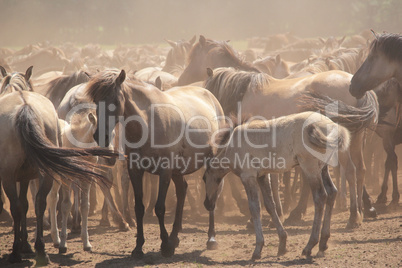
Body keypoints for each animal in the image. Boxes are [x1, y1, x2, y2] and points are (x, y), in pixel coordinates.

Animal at [0, 66, 116, 264]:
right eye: (96, 133)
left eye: (114, 134)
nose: (112, 158)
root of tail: (24, 108)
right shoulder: (66, 179)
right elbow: (65, 204)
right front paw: (63, 243)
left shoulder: (85, 179)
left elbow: (83, 205)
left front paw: (86, 243)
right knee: (50, 201)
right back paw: (50, 241)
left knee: (39, 202)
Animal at [84, 68, 226, 258]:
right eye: (95, 100)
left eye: (114, 100)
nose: (101, 136)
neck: (147, 124)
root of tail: (210, 95)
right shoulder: (135, 170)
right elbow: (139, 207)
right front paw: (139, 247)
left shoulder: (164, 172)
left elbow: (159, 207)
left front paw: (165, 245)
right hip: (177, 170)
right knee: (182, 191)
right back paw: (175, 237)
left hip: (208, 163)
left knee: (212, 194)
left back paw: (211, 238)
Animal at [203, 111, 350, 260]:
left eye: (204, 178)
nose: (207, 204)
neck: (231, 145)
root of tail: (332, 125)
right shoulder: (262, 176)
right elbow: (270, 205)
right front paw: (282, 243)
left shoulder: (248, 177)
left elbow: (255, 208)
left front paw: (258, 248)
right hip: (323, 168)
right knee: (332, 192)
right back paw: (323, 244)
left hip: (310, 169)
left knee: (320, 197)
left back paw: (310, 245)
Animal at [206, 67, 378, 228]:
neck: (244, 95)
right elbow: (273, 182)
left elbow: (272, 184)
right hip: (354, 140)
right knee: (360, 169)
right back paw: (360, 212)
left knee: (350, 170)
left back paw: (353, 216)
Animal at [348, 33, 402, 205]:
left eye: (372, 58)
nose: (352, 85)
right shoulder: (386, 136)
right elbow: (390, 162)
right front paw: (388, 195)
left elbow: (389, 162)